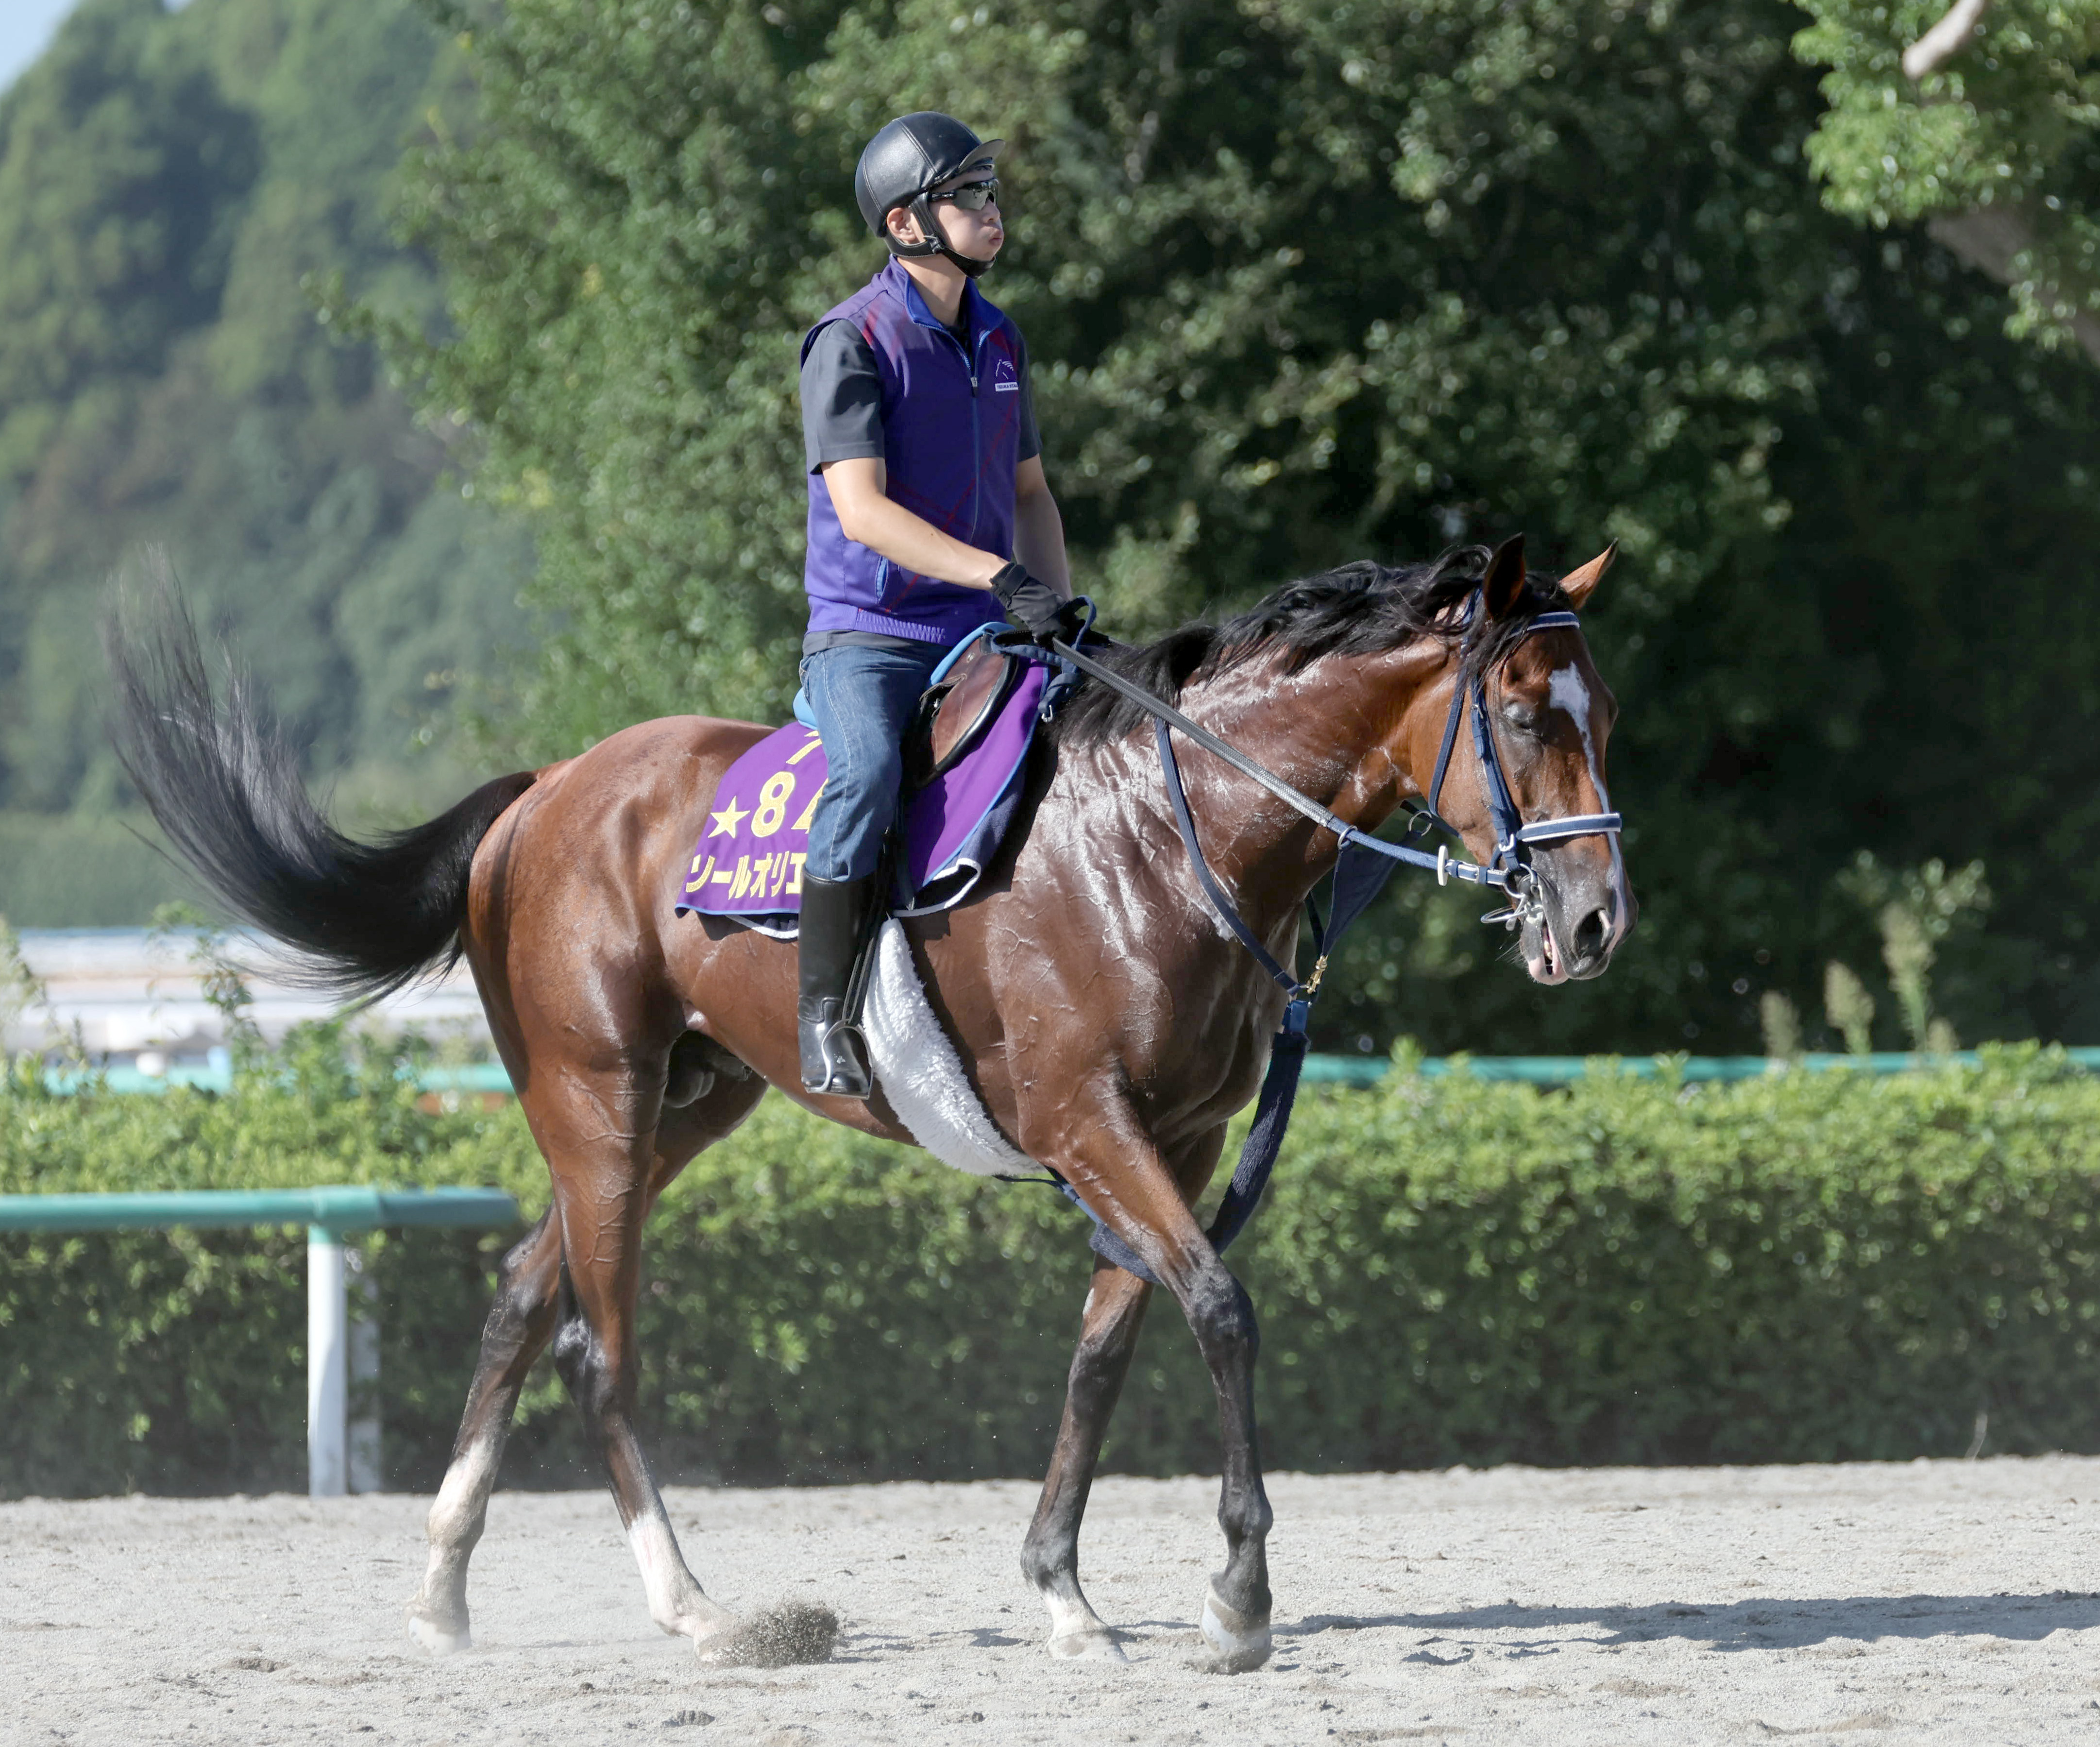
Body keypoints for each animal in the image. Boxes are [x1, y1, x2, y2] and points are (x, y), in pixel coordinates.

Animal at [106, 535, 1629, 1679]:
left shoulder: (1175, 1138)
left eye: (1600, 717)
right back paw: (696, 1604)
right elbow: (1216, 1309)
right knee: (598, 1346)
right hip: (598, 1101)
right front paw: (1239, 1591)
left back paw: (441, 1587)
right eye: (1516, 716)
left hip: (680, 1108)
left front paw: (1061, 1588)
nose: (1592, 921)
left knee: (523, 1299)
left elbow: (1102, 1354)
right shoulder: (1091, 1126)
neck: (1163, 833)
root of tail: (543, 791)